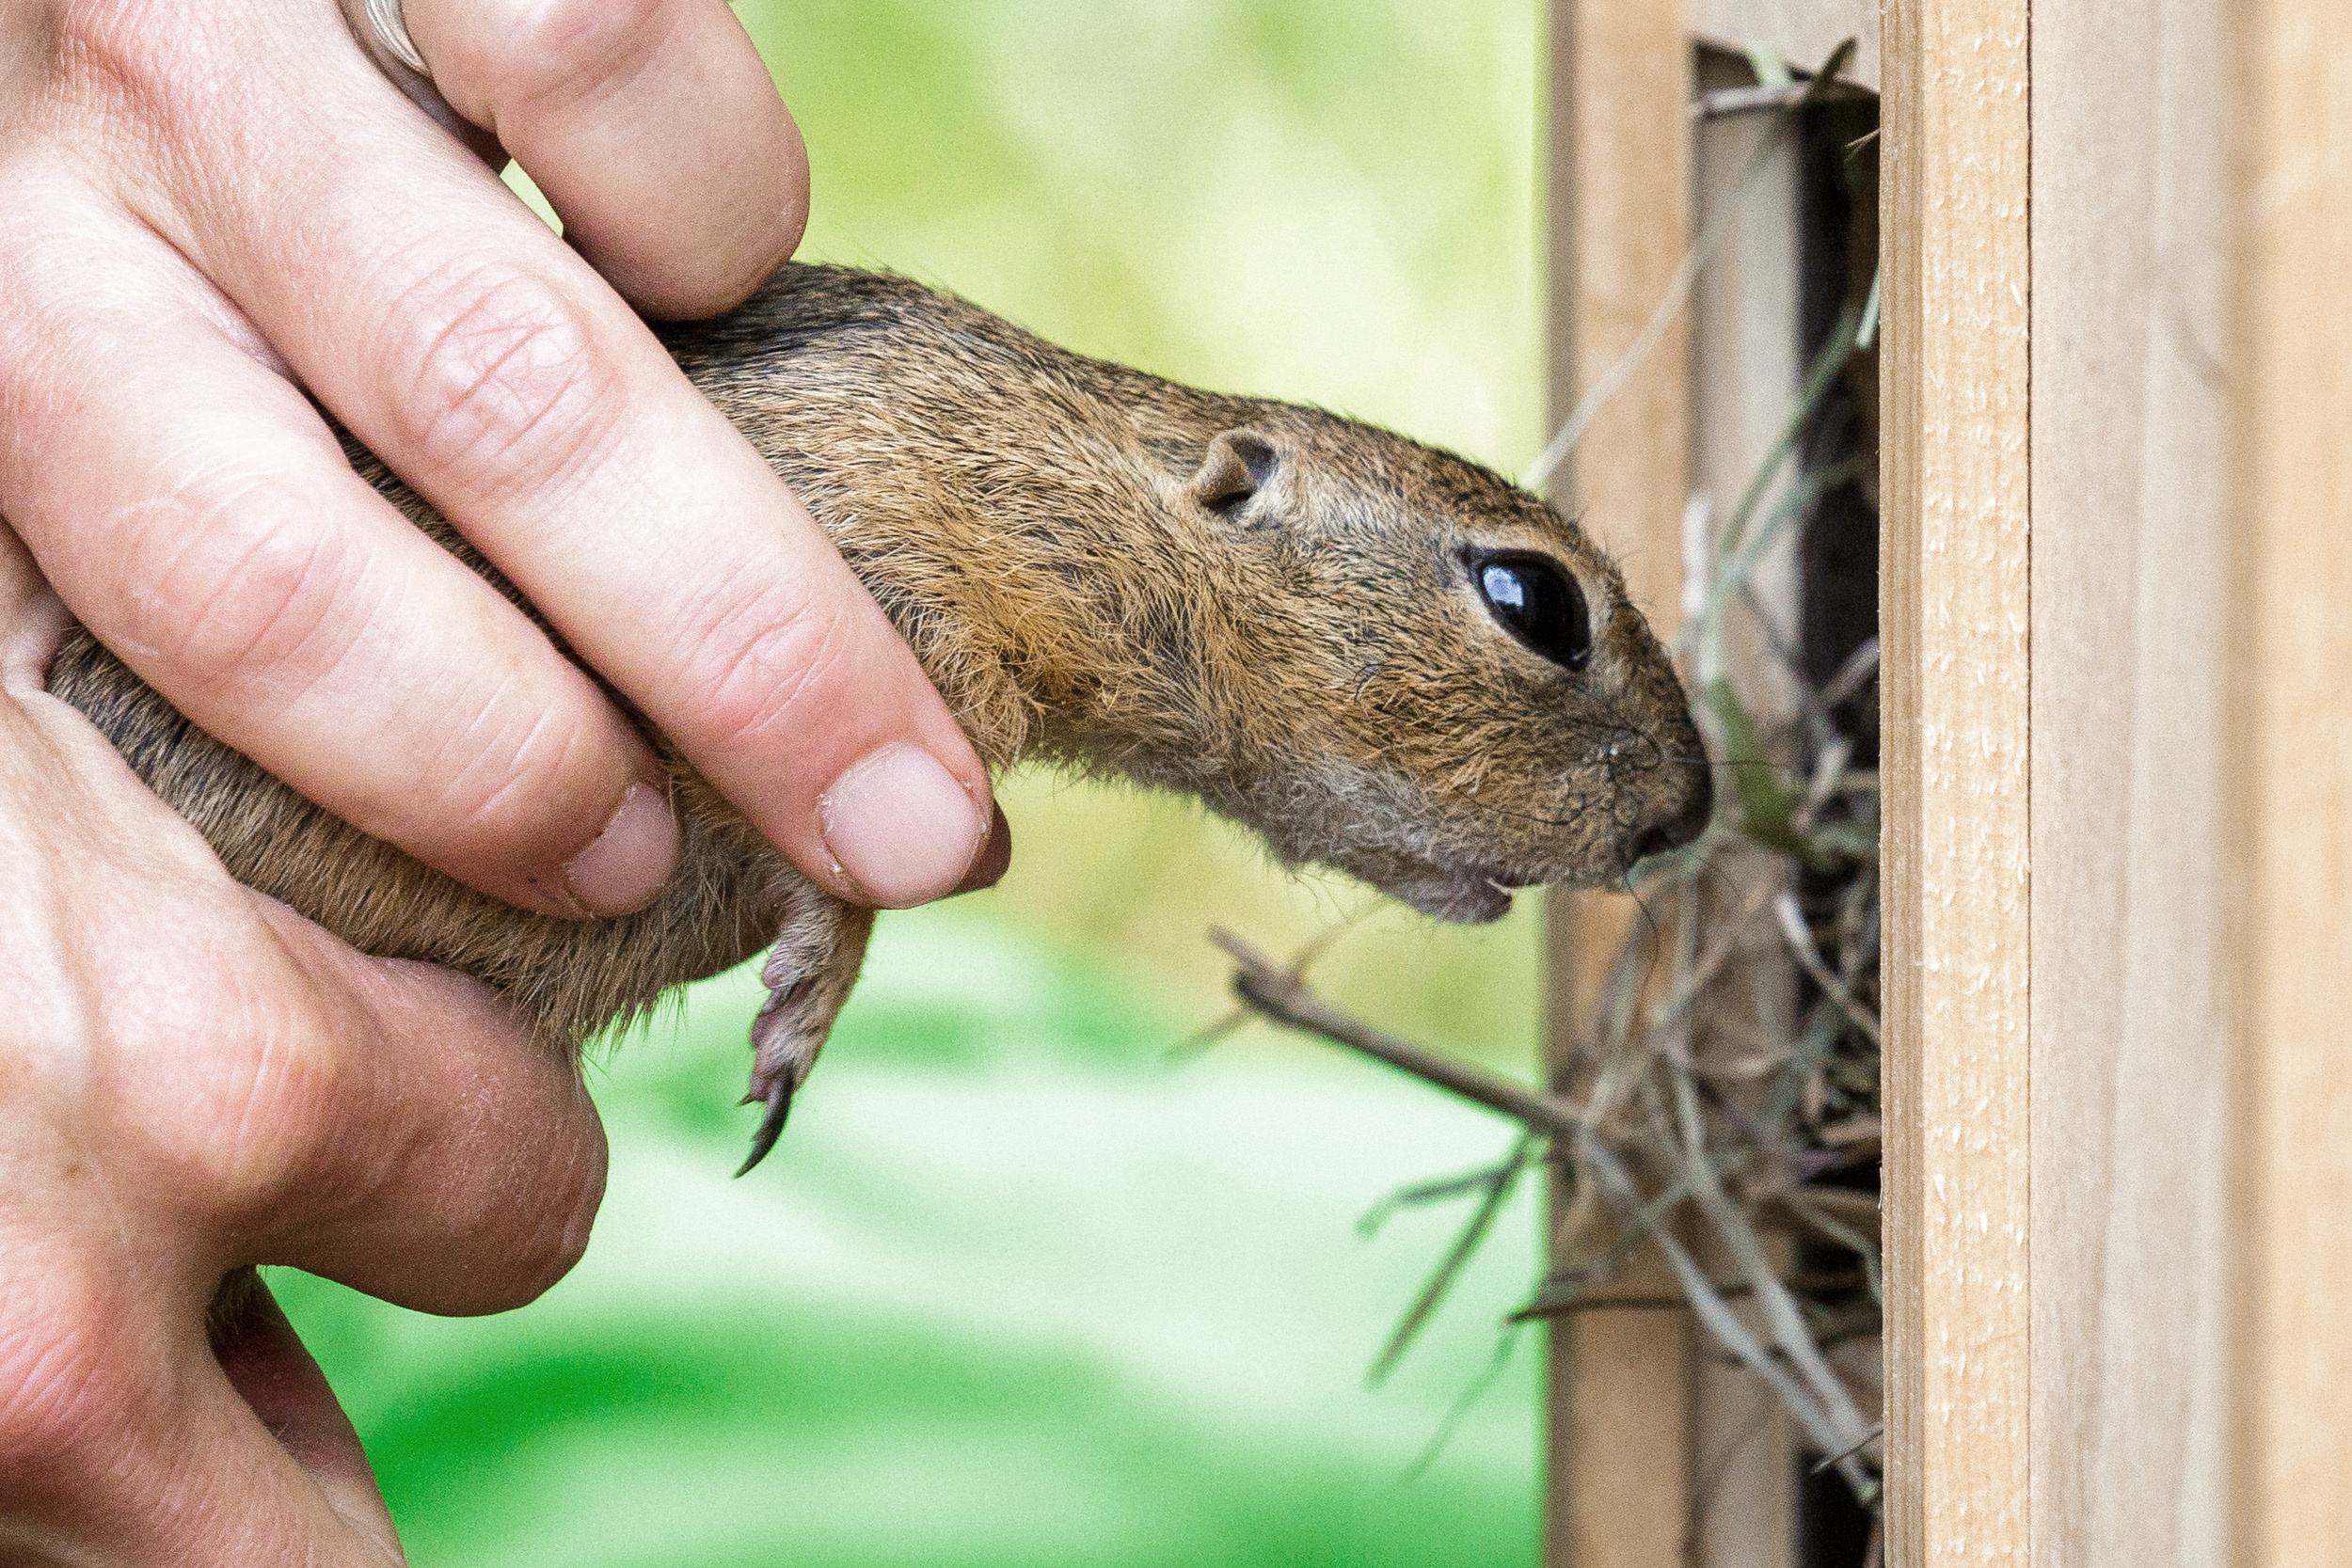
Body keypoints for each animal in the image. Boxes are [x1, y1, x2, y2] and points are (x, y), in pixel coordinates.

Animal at [50, 270, 1712, 1170]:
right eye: (1533, 599)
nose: (1691, 815)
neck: (1073, 485)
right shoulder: (881, 570)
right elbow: (845, 852)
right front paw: (809, 995)